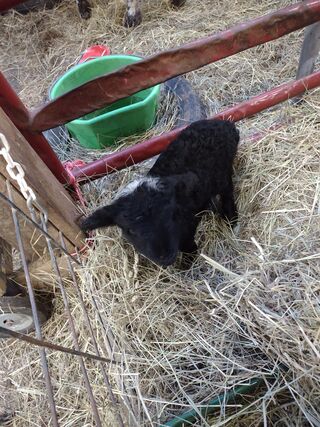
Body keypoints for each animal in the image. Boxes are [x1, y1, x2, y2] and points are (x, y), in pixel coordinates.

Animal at [81, 119, 239, 268]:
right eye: (130, 231)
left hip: (222, 173)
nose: (165, 257)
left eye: (171, 216)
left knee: (227, 193)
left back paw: (231, 221)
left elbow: (188, 246)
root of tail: (222, 122)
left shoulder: (187, 227)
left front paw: (186, 264)